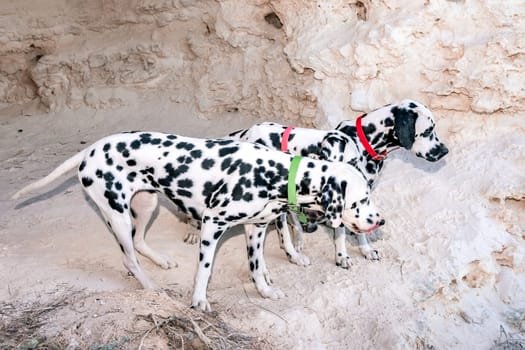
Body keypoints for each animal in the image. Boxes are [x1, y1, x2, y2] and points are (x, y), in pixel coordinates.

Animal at [12, 132, 380, 312]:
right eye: (360, 199)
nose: (382, 221)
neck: (274, 172)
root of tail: (90, 150)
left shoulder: (255, 230)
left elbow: (257, 267)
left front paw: (265, 290)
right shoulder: (212, 224)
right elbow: (204, 269)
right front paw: (199, 301)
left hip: (146, 205)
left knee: (141, 242)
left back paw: (160, 261)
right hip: (116, 215)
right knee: (128, 258)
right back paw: (151, 288)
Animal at [225, 98, 446, 268]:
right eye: (428, 131)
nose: (445, 151)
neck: (365, 141)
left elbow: (360, 227)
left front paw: (366, 249)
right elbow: (339, 231)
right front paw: (342, 256)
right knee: (289, 227)